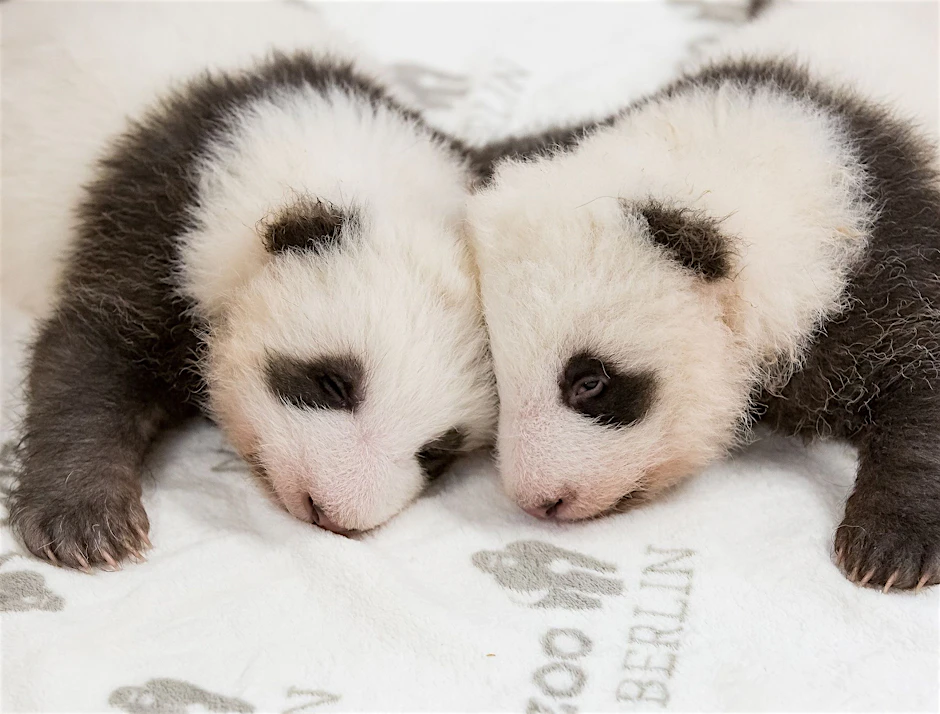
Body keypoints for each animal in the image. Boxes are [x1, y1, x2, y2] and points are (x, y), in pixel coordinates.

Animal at [5, 4, 496, 570]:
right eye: (332, 383)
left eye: (435, 452)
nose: (330, 512)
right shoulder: (159, 217)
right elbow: (89, 350)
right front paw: (85, 521)